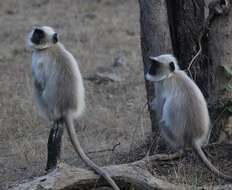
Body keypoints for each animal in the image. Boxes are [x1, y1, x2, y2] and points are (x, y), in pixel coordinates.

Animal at [27, 25, 119, 190]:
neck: (51, 47)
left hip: (49, 106)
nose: (33, 36)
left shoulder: (38, 60)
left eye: (39, 34)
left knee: (37, 87)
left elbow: (40, 83)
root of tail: (66, 108)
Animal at [146, 53, 232, 181]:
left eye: (155, 65)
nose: (149, 70)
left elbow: (160, 110)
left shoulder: (160, 86)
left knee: (163, 124)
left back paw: (177, 151)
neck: (172, 74)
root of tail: (193, 138)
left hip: (176, 137)